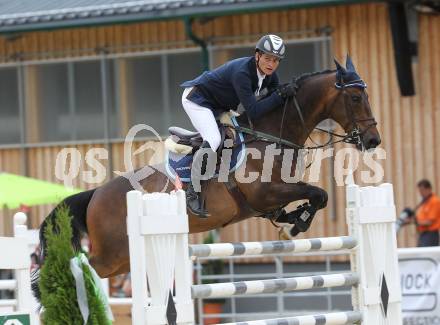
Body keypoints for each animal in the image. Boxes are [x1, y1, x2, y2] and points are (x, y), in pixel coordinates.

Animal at [32, 55, 380, 292]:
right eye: (354, 97)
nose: (373, 140)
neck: (272, 135)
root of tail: (96, 194)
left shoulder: (272, 200)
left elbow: (312, 199)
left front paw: (293, 221)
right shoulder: (265, 193)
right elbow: (318, 194)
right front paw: (297, 226)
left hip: (125, 257)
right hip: (111, 252)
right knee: (77, 269)